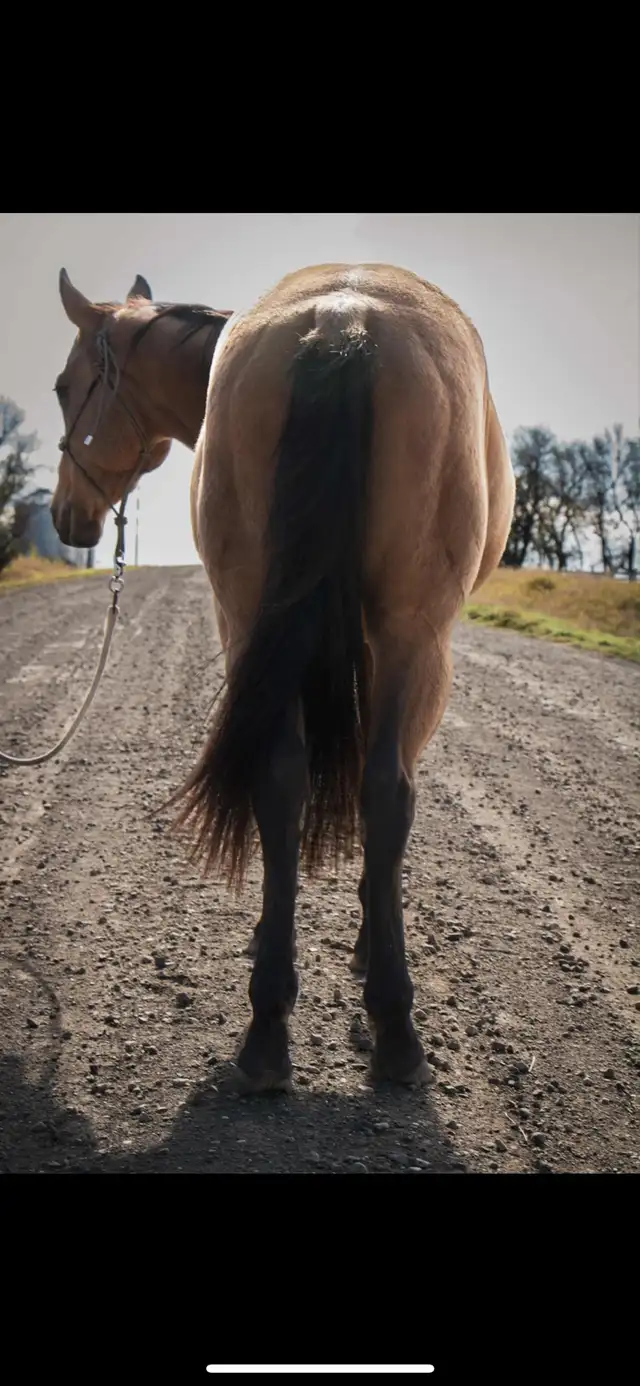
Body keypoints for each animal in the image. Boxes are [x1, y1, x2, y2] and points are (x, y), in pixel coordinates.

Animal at [51, 263, 515, 1094]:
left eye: (64, 385)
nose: (65, 515)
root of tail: (341, 319)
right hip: (410, 633)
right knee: (382, 788)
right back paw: (388, 1025)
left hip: (258, 617)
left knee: (290, 775)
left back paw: (275, 1025)